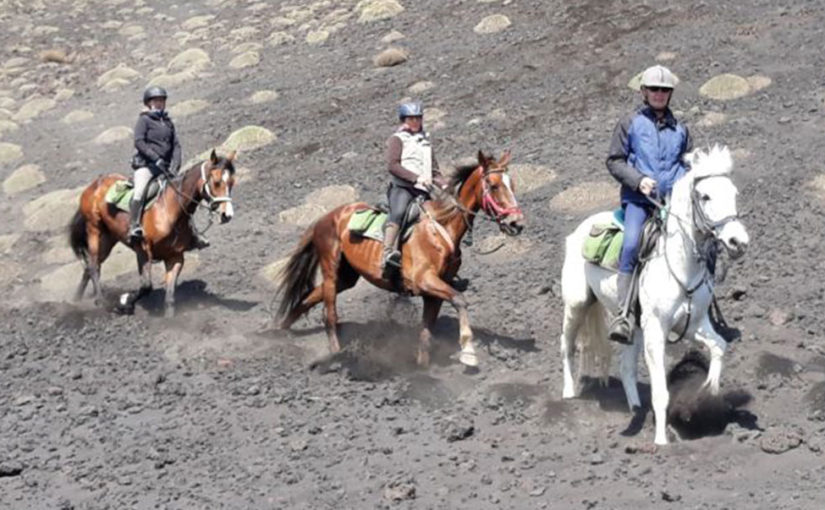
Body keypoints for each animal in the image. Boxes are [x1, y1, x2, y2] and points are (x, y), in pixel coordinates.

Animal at [68, 148, 237, 314]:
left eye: (232, 183)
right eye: (216, 182)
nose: (227, 215)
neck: (169, 211)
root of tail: (94, 184)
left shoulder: (175, 257)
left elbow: (169, 298)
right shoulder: (143, 251)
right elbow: (146, 286)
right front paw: (123, 302)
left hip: (108, 238)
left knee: (90, 266)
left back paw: (75, 300)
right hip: (94, 230)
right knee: (94, 266)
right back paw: (100, 301)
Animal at [276, 149, 520, 368]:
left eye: (513, 185)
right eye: (494, 186)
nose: (516, 223)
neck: (442, 228)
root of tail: (325, 218)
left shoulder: (434, 292)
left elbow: (426, 331)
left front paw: (422, 367)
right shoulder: (425, 280)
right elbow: (460, 300)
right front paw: (468, 353)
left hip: (347, 276)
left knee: (308, 298)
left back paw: (279, 330)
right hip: (331, 269)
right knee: (329, 315)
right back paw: (337, 354)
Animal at [560, 145, 748, 444]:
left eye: (733, 193)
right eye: (705, 196)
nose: (738, 242)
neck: (681, 267)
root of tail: (581, 229)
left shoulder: (692, 324)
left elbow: (719, 347)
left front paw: (708, 391)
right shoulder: (657, 331)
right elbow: (661, 391)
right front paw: (661, 440)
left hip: (633, 328)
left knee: (625, 367)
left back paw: (636, 409)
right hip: (578, 304)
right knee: (566, 344)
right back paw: (569, 393)